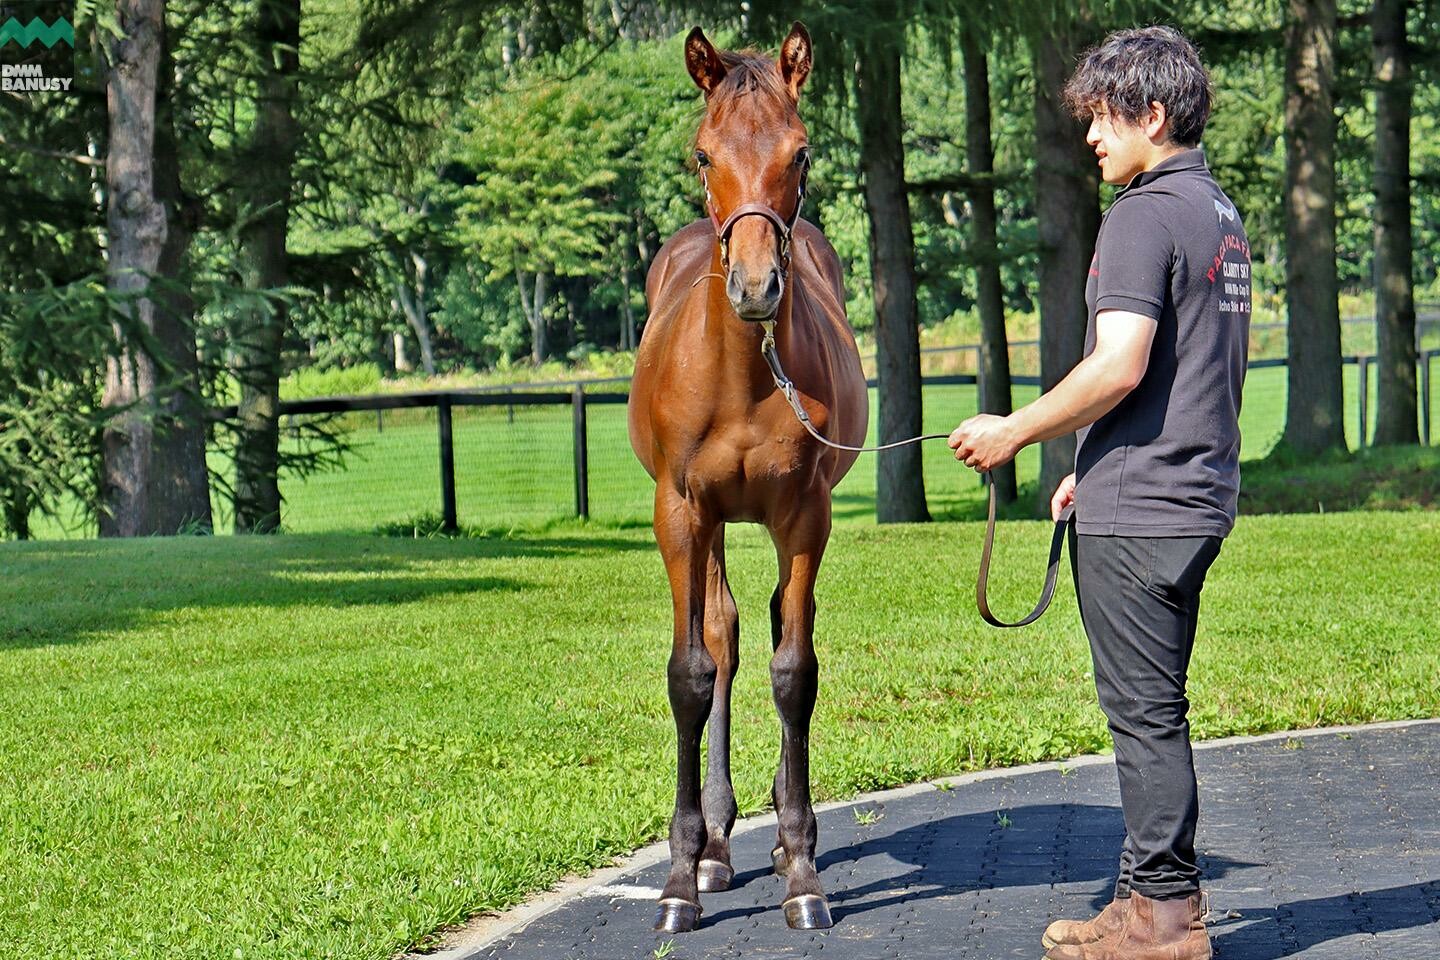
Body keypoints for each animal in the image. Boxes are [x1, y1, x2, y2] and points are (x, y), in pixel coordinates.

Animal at [627, 24, 864, 938]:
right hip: (714, 524)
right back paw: (720, 845)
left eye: (801, 153)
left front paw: (800, 869)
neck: (744, 377)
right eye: (703, 153)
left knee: (772, 628)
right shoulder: (682, 512)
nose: (757, 286)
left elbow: (794, 671)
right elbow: (691, 673)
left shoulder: (806, 515)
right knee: (724, 634)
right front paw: (679, 878)